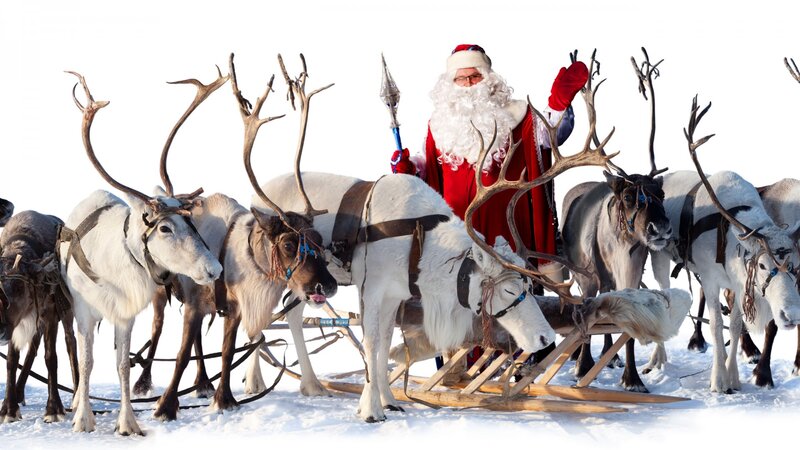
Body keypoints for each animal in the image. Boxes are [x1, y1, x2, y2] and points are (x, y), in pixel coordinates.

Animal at [0, 211, 78, 423]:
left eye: (19, 286)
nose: (0, 330)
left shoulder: (50, 314)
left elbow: (51, 358)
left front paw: (53, 409)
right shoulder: (17, 324)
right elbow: (11, 360)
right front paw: (8, 409)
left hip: (66, 313)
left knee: (71, 343)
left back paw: (77, 396)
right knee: (32, 349)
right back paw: (18, 394)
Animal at [61, 72, 223, 435]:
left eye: (190, 220)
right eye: (164, 228)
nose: (215, 268)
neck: (112, 268)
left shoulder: (126, 315)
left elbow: (122, 364)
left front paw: (128, 422)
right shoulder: (83, 309)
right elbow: (87, 360)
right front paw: (84, 417)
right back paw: (77, 400)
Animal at [561, 49, 673, 392]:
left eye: (661, 193)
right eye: (627, 197)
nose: (661, 228)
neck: (622, 252)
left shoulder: (631, 276)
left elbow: (626, 330)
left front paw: (632, 378)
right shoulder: (588, 278)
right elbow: (585, 319)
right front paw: (583, 368)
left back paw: (610, 358)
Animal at [649, 96, 800, 393]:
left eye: (795, 266)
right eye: (762, 265)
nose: (791, 314)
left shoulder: (738, 283)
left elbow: (736, 324)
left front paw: (734, 378)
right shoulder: (711, 278)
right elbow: (717, 325)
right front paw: (718, 381)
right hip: (658, 256)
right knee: (662, 293)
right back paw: (659, 358)